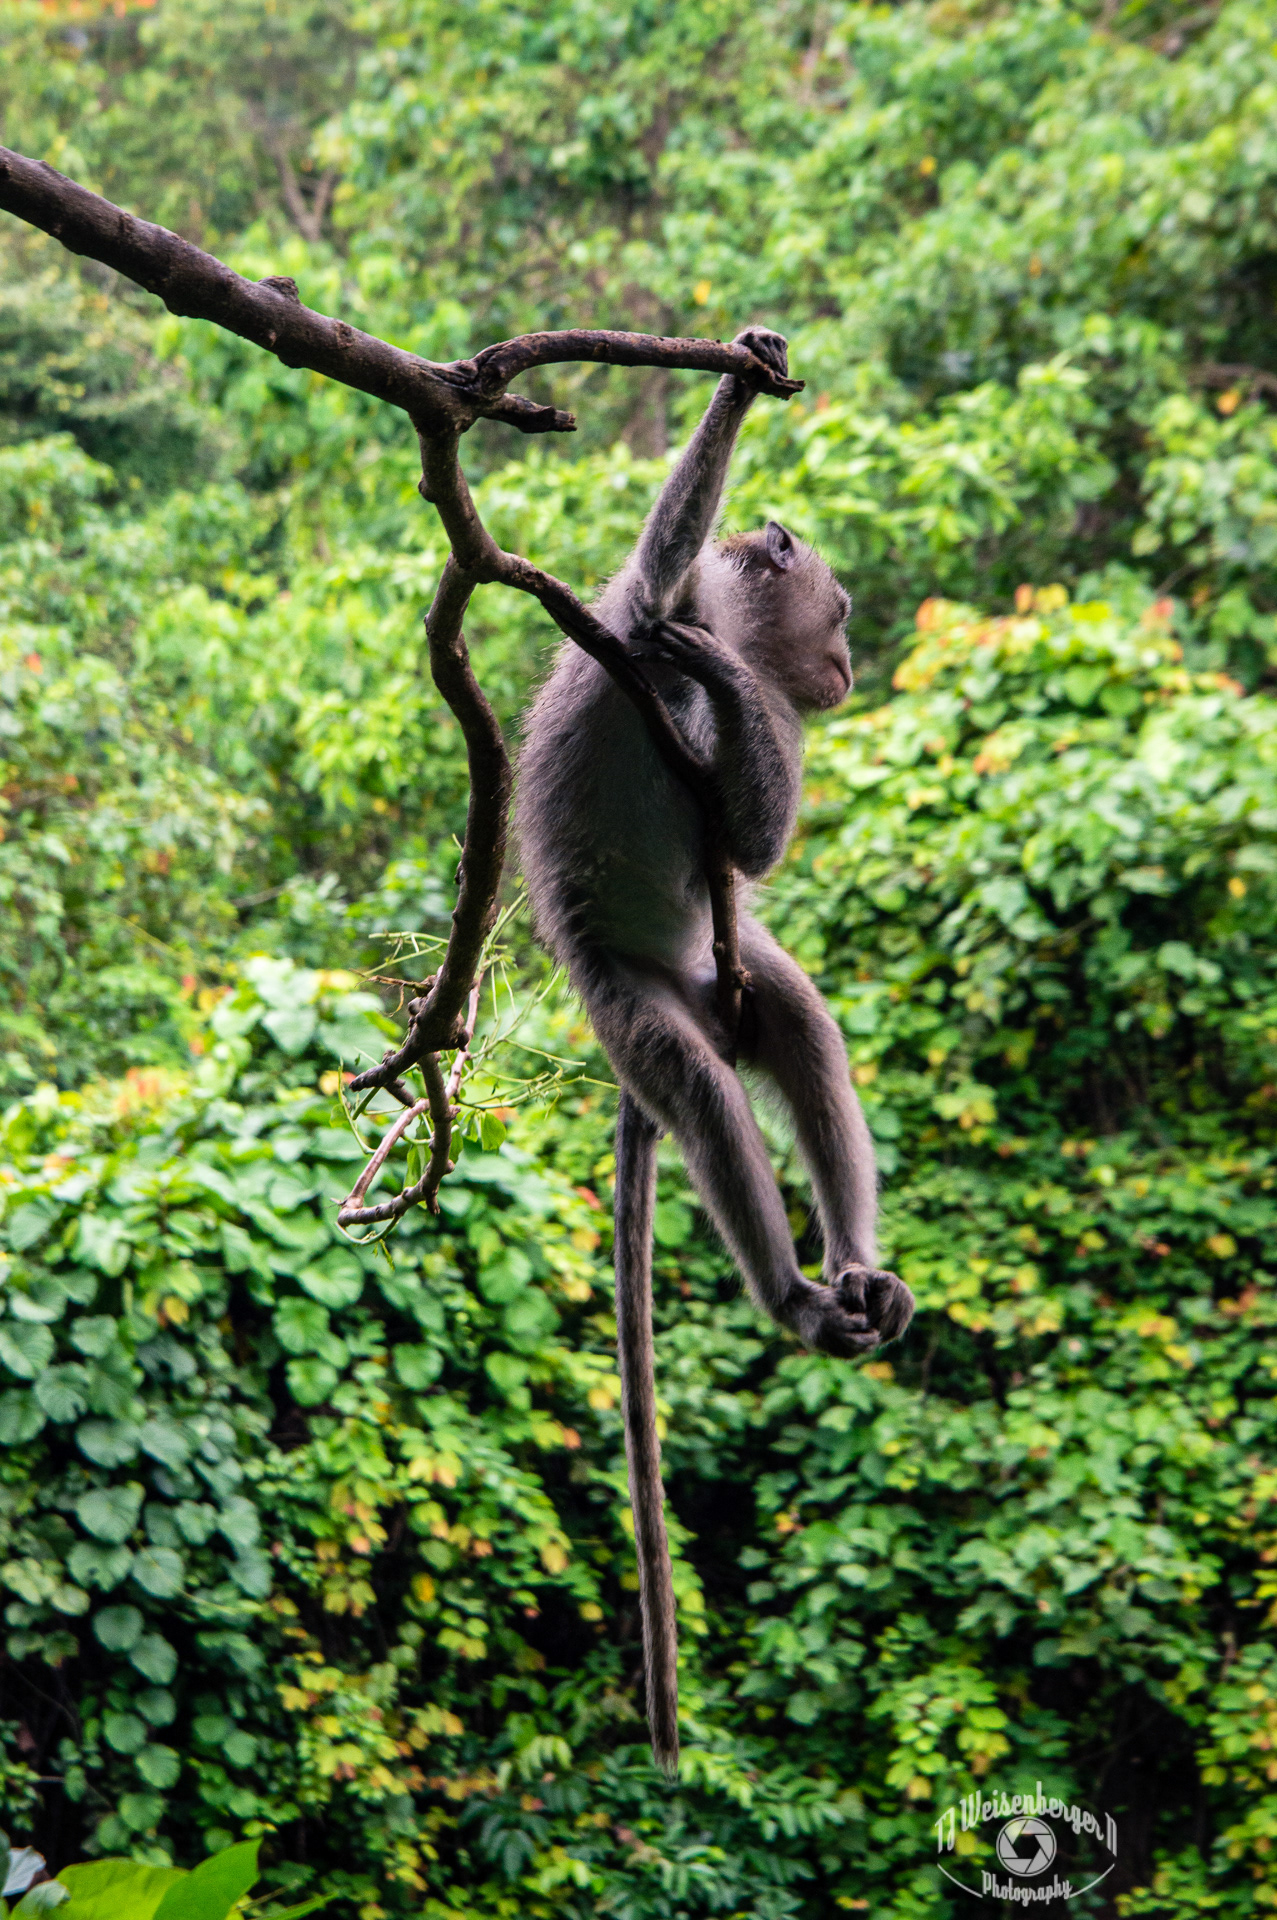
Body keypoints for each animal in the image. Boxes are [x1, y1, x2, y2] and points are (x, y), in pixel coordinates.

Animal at [515, 326, 914, 1777]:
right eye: (839, 611)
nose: (846, 667)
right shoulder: (646, 616)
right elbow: (652, 569)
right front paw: (739, 385)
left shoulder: (771, 738)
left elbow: (750, 842)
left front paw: (731, 693)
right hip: (627, 994)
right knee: (692, 1084)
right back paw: (793, 1295)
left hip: (713, 967)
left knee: (792, 1025)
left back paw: (852, 1272)